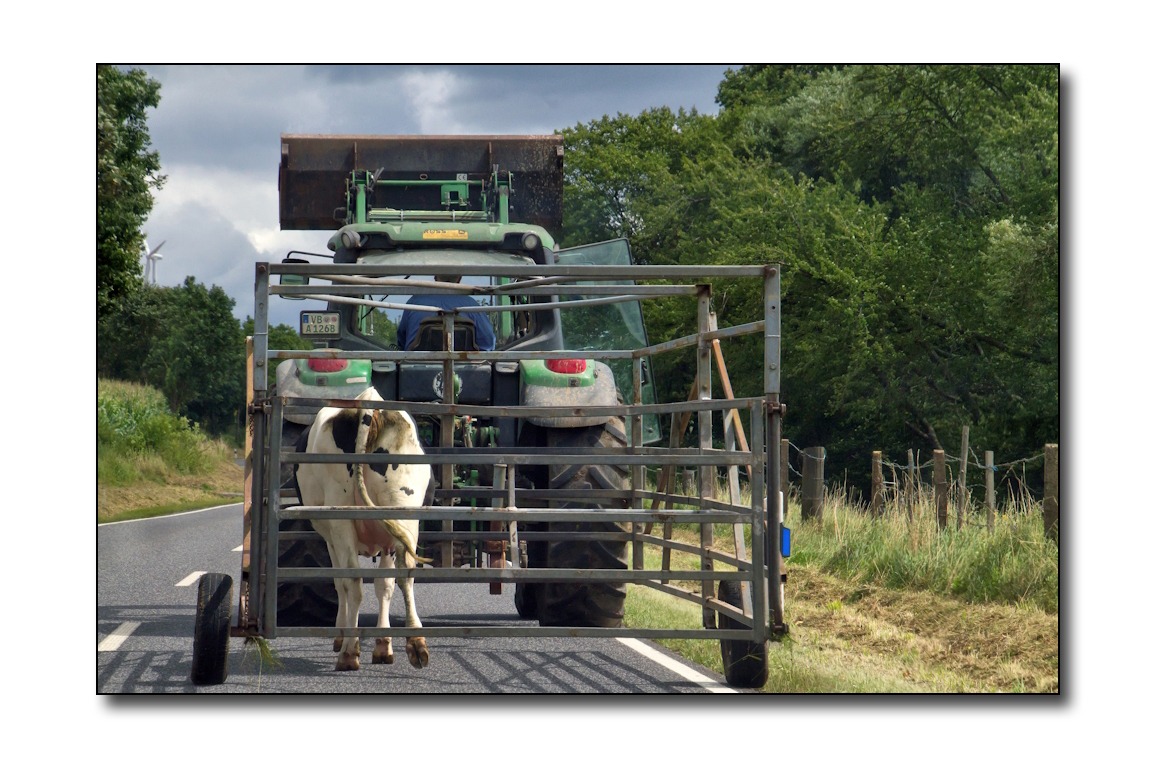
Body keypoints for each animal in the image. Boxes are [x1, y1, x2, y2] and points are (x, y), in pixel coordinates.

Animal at [293, 388, 435, 671]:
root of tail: (370, 403)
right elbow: (385, 586)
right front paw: (383, 645)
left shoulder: (331, 539)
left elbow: (340, 583)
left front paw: (343, 637)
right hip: (403, 511)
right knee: (406, 572)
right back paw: (416, 642)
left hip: (342, 520)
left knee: (353, 581)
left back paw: (348, 652)